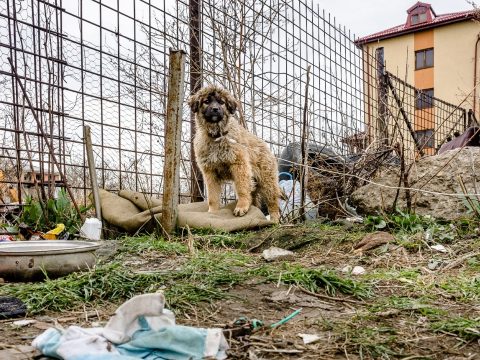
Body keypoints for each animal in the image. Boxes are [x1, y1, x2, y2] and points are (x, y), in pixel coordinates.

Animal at [188, 85, 282, 222]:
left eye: (222, 102)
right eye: (206, 101)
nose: (215, 109)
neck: (217, 136)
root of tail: (265, 146)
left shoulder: (239, 165)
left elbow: (242, 188)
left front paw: (241, 207)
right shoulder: (210, 172)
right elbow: (212, 196)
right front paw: (212, 213)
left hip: (267, 180)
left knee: (272, 200)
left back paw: (274, 219)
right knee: (253, 196)